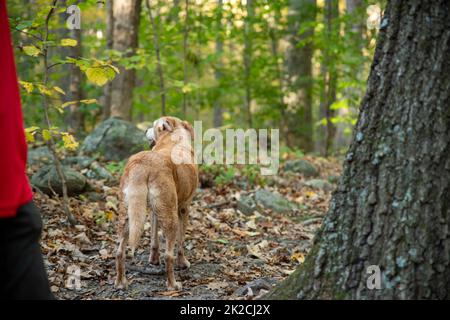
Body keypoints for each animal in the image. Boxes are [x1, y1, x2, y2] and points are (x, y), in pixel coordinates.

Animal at [114, 116, 197, 292]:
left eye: (152, 126)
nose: (145, 130)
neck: (173, 138)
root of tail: (143, 163)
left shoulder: (153, 211)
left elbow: (154, 239)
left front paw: (153, 260)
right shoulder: (184, 207)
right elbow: (181, 242)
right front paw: (183, 263)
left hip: (127, 213)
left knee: (119, 251)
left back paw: (120, 283)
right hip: (171, 216)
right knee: (169, 255)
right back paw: (173, 285)